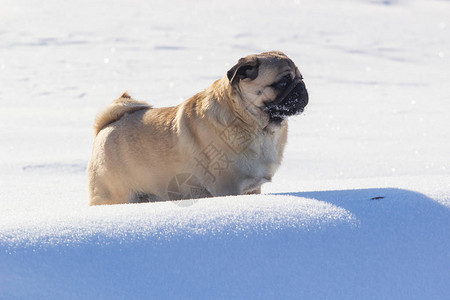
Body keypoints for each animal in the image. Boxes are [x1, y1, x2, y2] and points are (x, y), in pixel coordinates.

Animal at [89, 52, 306, 206]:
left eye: (300, 78)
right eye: (283, 82)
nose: (302, 87)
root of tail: (106, 126)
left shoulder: (252, 189)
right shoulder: (227, 187)